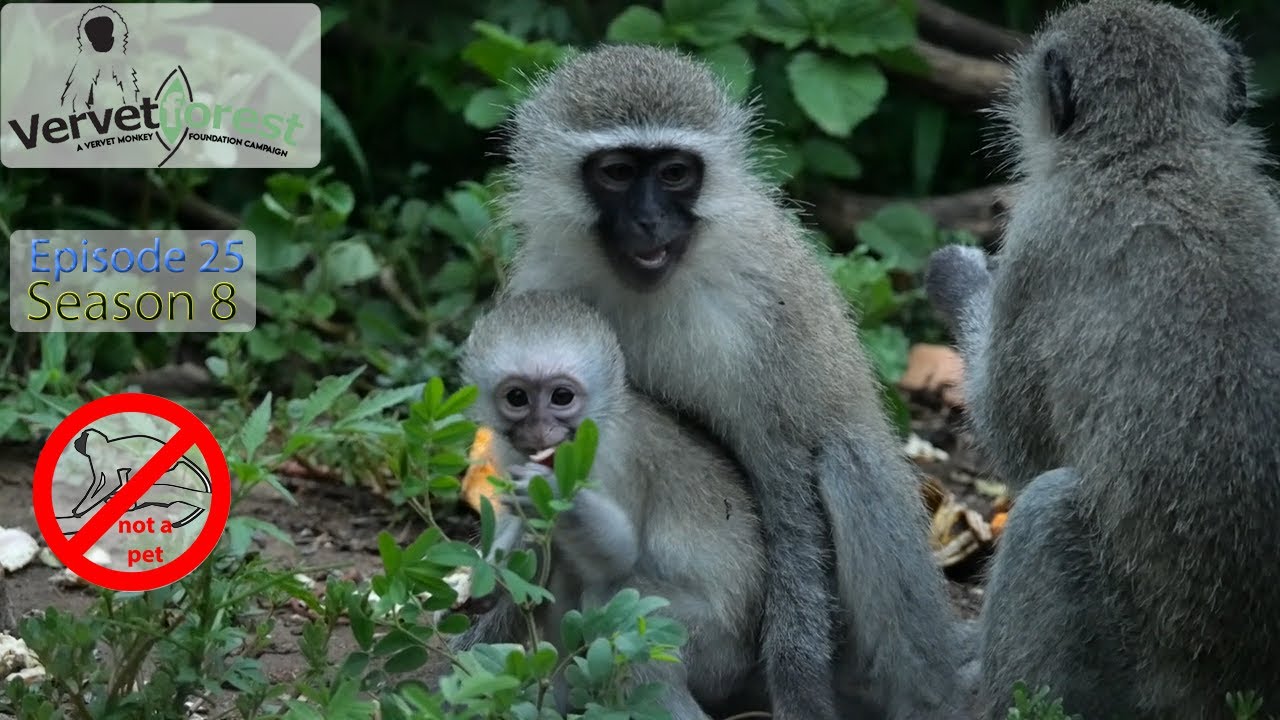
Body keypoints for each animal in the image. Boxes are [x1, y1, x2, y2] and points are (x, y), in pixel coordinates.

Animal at [449, 290, 767, 720]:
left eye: (561, 397)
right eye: (517, 398)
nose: (540, 432)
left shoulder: (611, 458)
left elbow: (620, 556)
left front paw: (553, 492)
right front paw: (485, 581)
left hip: (716, 652)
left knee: (620, 604)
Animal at [497, 44, 973, 720]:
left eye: (675, 173)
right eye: (617, 172)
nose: (649, 219)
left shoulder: (761, 313)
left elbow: (788, 482)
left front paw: (799, 688)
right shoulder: (544, 282)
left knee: (848, 461)